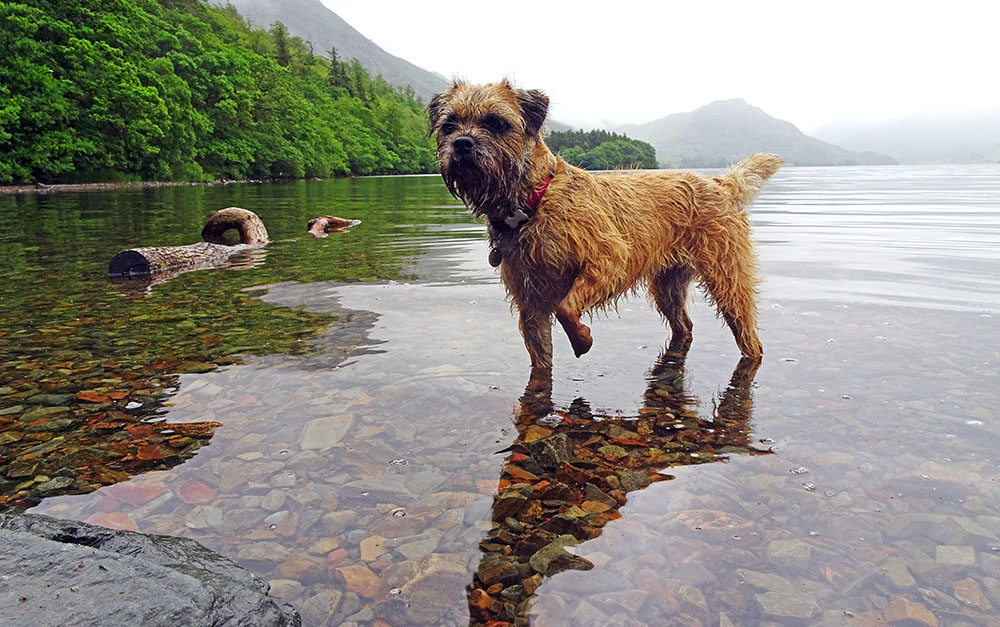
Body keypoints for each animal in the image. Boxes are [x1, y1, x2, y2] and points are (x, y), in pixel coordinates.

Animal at [430, 78, 780, 372]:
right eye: (449, 125)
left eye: (496, 123)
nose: (462, 143)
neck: (533, 202)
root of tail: (720, 183)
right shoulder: (530, 305)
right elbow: (541, 356)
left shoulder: (609, 259)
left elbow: (567, 307)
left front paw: (582, 340)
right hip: (668, 286)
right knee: (685, 325)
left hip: (728, 278)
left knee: (748, 334)